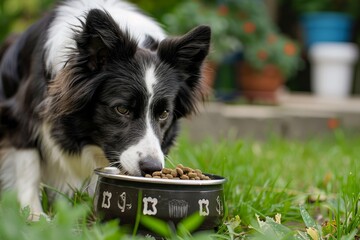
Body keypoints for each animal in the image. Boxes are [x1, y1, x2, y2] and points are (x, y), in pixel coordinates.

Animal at [0, 0, 211, 218]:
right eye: (122, 109)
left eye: (164, 113)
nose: (151, 168)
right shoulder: (19, 114)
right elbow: (28, 166)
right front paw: (34, 215)